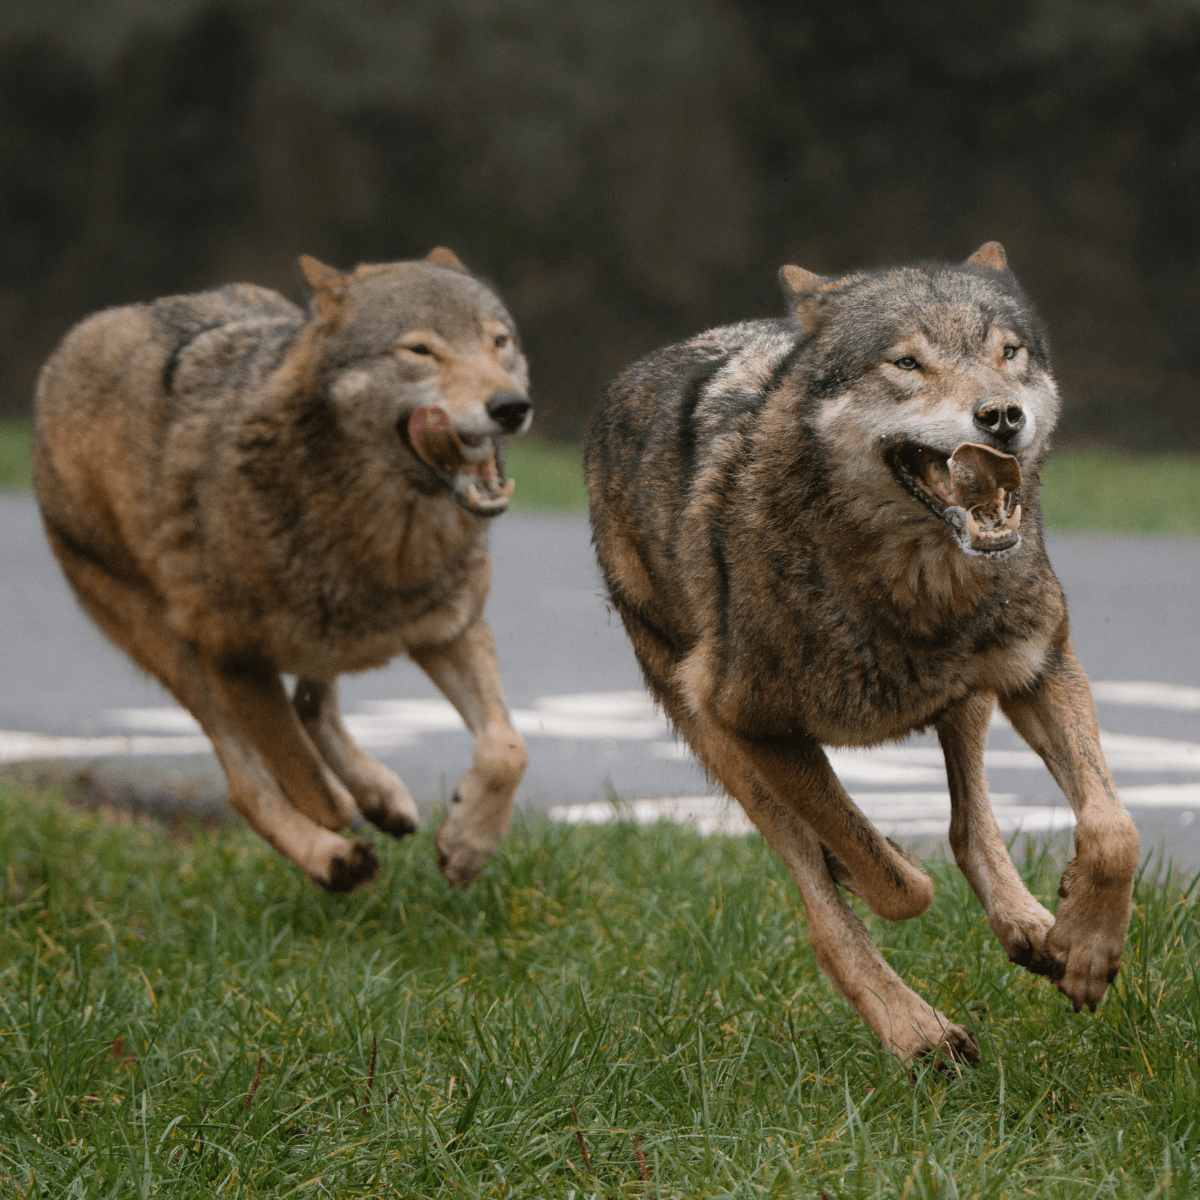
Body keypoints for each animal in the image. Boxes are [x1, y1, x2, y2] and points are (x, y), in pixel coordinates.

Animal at [33, 248, 532, 891]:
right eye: (421, 350)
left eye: (500, 342)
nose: (511, 407)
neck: (384, 537)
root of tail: (73, 343)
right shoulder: (233, 660)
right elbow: (299, 775)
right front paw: (340, 820)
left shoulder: (449, 631)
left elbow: (507, 750)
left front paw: (467, 845)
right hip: (177, 653)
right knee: (249, 786)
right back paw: (336, 858)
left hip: (320, 643)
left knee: (311, 707)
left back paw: (380, 798)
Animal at [585, 243, 1139, 1066]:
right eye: (906, 363)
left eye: (1009, 353)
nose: (1002, 415)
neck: (910, 582)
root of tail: (634, 373)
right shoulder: (753, 724)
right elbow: (898, 886)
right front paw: (879, 861)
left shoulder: (1043, 666)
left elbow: (1113, 833)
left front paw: (1086, 950)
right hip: (709, 727)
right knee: (825, 912)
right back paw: (920, 1035)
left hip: (970, 694)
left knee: (969, 827)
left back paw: (1033, 929)